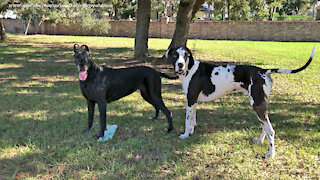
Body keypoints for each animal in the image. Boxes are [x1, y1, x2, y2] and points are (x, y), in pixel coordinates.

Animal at [166, 45, 316, 158]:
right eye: (175, 55)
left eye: (185, 55)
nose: (180, 65)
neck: (190, 68)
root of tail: (264, 71)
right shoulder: (194, 102)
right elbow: (192, 120)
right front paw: (191, 132)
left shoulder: (190, 100)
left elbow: (187, 120)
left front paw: (185, 135)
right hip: (260, 104)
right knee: (265, 126)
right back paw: (260, 140)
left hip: (257, 105)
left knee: (271, 130)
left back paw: (271, 154)